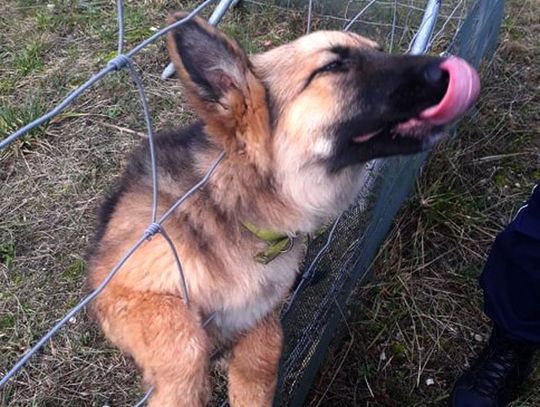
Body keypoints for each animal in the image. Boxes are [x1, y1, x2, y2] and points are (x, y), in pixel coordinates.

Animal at [86, 11, 478, 404]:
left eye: (379, 51)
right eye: (333, 66)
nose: (452, 68)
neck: (235, 205)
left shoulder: (261, 311)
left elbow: (265, 355)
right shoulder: (117, 288)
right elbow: (185, 344)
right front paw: (180, 393)